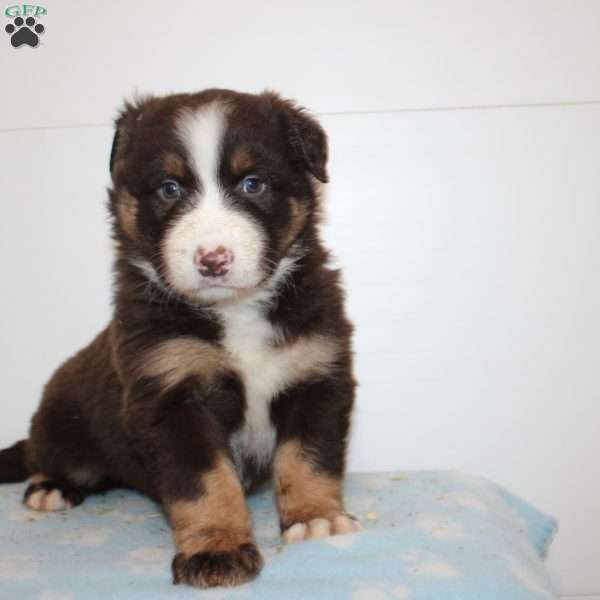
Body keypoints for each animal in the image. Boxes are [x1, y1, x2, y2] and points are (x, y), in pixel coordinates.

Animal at [0, 89, 356, 584]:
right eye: (170, 189)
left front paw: (315, 518)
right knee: (44, 454)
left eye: (253, 184)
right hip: (60, 421)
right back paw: (50, 486)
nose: (213, 259)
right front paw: (216, 549)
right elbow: (204, 482)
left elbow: (308, 457)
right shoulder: (170, 396)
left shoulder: (316, 374)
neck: (235, 312)